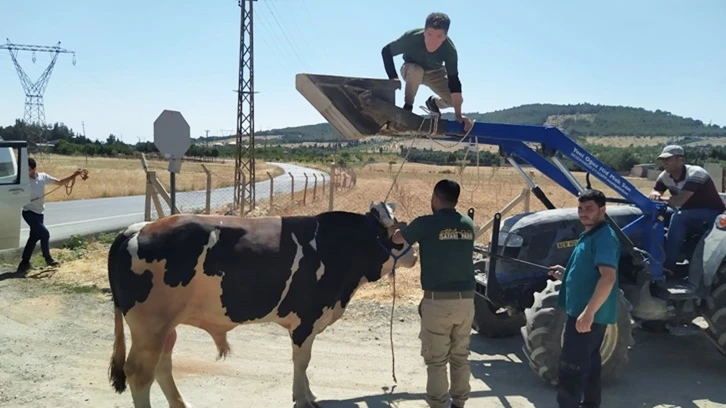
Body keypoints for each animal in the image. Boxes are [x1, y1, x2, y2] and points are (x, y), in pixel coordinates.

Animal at [105, 202, 418, 408]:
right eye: (396, 233)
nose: (414, 254)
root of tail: (137, 228)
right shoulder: (306, 319)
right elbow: (302, 360)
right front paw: (303, 398)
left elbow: (304, 362)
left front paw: (308, 394)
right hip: (150, 326)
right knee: (139, 373)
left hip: (165, 327)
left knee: (162, 364)